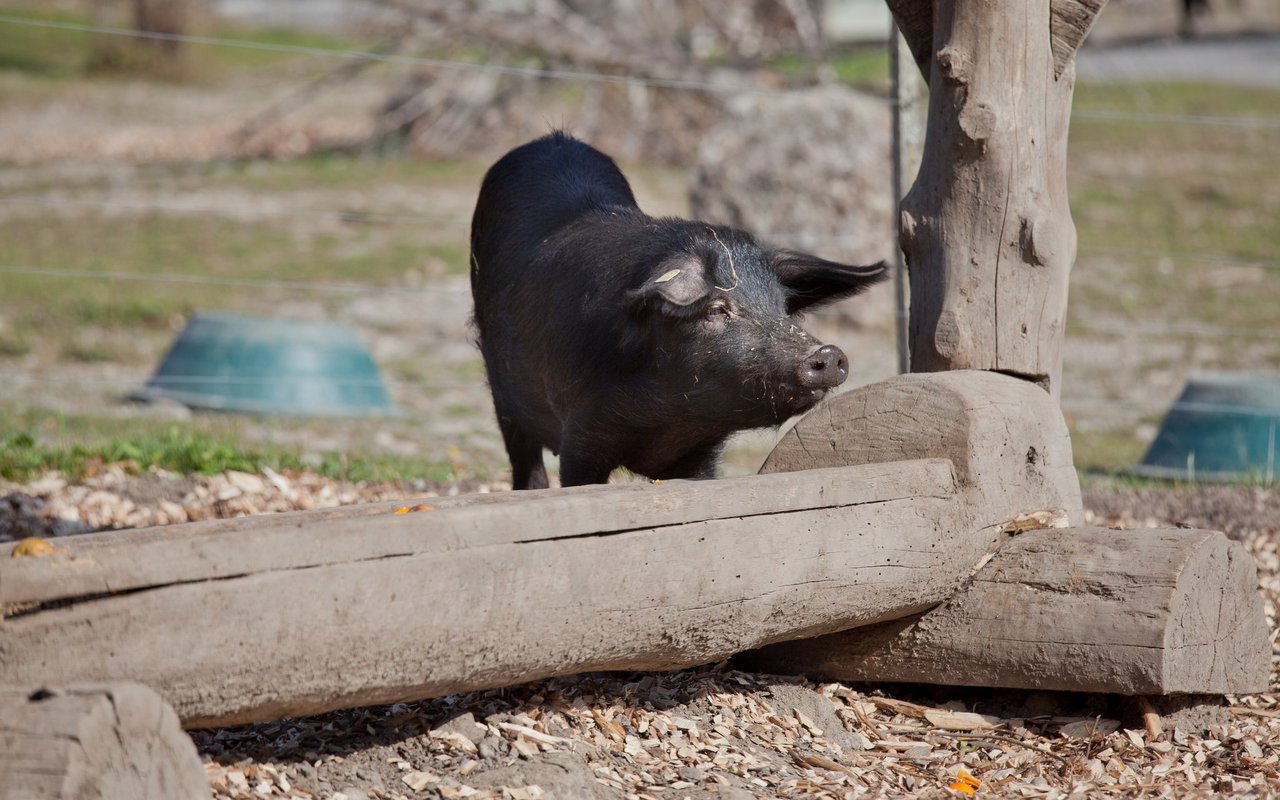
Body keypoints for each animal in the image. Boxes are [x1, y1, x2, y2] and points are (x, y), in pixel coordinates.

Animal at [473, 132, 890, 486]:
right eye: (716, 309)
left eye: (782, 306)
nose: (828, 353)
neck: (664, 420)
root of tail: (552, 138)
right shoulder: (579, 434)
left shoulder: (702, 453)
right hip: (501, 390)